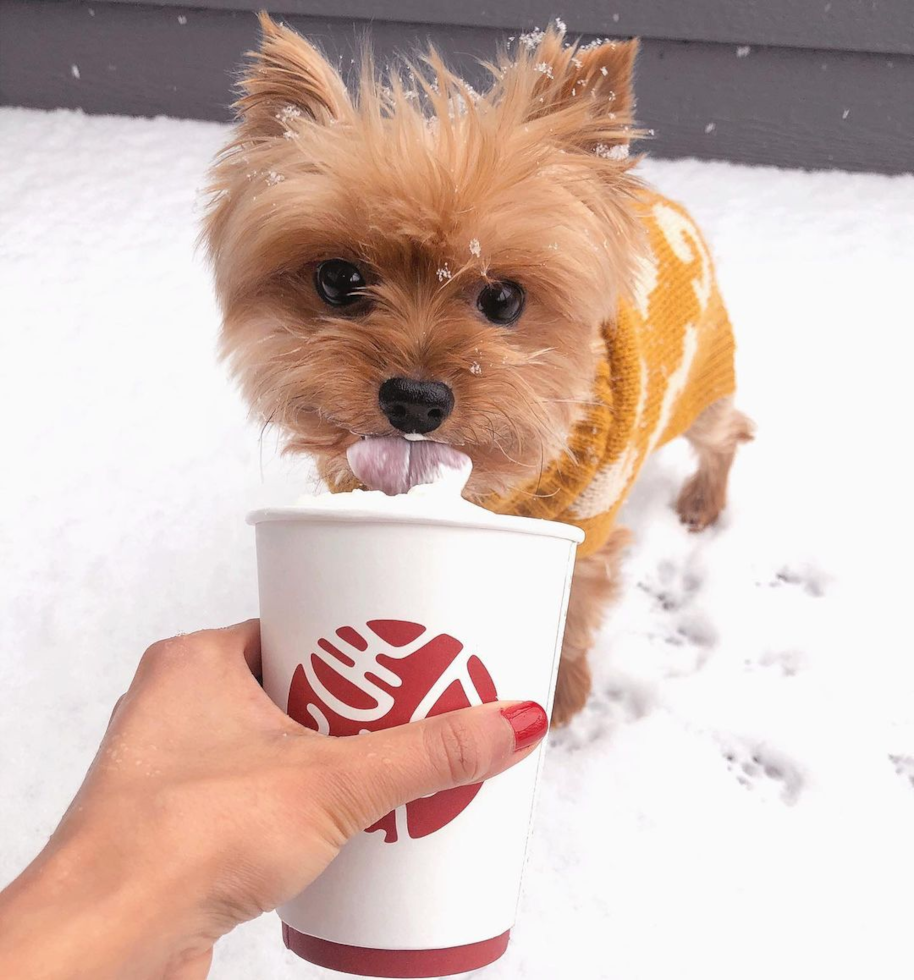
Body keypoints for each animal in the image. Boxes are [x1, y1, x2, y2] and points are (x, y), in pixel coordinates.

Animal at [205, 13, 748, 720]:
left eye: (504, 298)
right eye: (338, 280)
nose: (415, 400)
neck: (489, 490)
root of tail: (669, 208)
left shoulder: (587, 524)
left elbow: (576, 604)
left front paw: (563, 696)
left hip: (701, 379)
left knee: (727, 433)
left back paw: (703, 499)